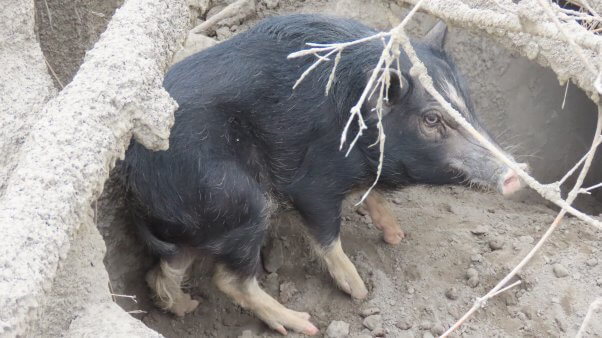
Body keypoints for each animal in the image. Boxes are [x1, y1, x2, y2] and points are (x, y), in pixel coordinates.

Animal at [120, 13, 520, 336]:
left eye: (468, 102)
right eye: (432, 119)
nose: (514, 175)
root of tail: (133, 171)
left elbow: (371, 195)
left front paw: (396, 237)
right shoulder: (314, 183)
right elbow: (327, 234)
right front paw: (360, 290)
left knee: (164, 270)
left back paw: (186, 307)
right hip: (236, 200)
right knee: (229, 279)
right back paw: (302, 323)